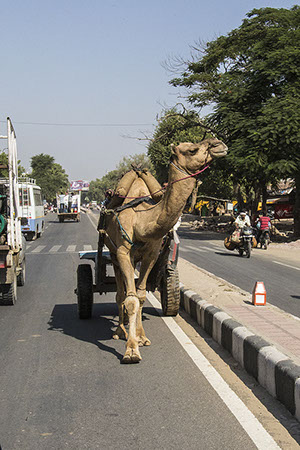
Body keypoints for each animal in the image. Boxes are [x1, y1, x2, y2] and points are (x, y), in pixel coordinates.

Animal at [99, 137, 226, 362]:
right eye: (192, 149)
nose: (219, 143)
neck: (142, 219)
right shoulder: (123, 251)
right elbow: (130, 298)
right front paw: (131, 350)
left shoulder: (151, 253)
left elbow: (140, 295)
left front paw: (141, 338)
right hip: (114, 253)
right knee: (120, 293)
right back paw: (119, 331)